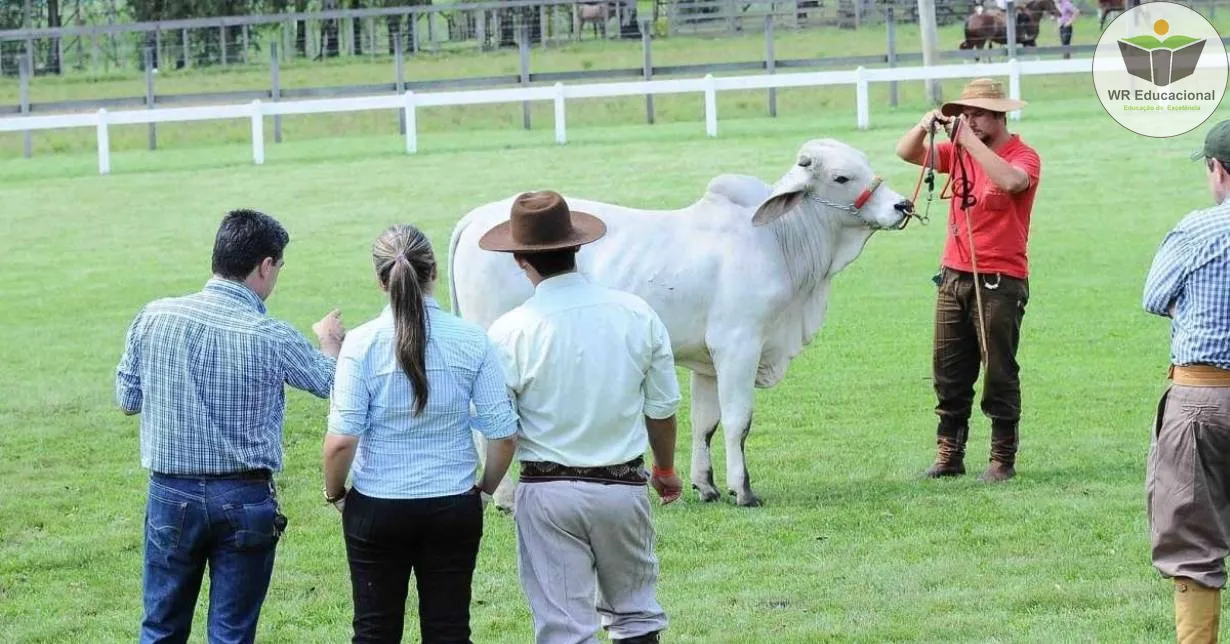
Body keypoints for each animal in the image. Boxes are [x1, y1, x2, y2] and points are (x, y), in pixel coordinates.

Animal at [447, 139, 920, 508]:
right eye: (842, 177)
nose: (903, 205)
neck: (777, 240)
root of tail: (474, 218)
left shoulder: (708, 361)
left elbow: (706, 423)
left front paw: (706, 486)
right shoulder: (739, 345)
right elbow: (738, 420)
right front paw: (743, 491)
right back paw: (505, 498)